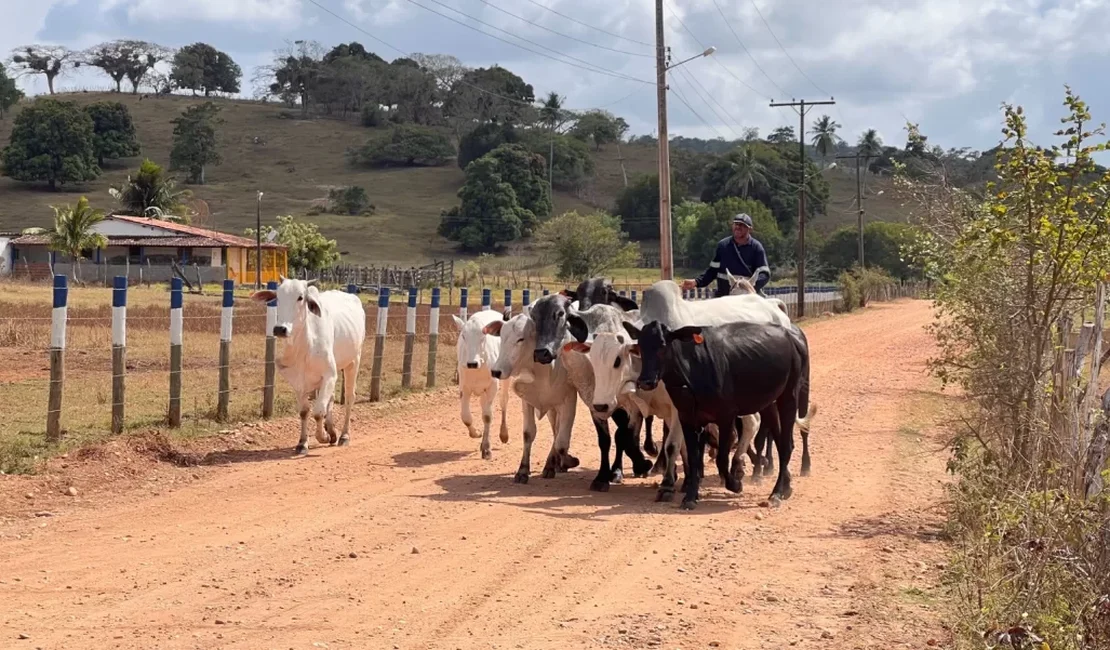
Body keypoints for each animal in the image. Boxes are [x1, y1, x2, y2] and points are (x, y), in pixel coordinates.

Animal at [249, 276, 366, 452]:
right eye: (278, 297)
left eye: (300, 297)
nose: (280, 329)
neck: (305, 345)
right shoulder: (299, 381)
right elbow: (305, 411)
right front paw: (303, 443)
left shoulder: (330, 375)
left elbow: (318, 411)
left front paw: (323, 437)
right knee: (330, 399)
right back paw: (332, 430)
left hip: (353, 361)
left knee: (349, 397)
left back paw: (344, 435)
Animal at [452, 308, 512, 454]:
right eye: (463, 336)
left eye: (483, 337)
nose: (472, 363)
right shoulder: (464, 387)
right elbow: (465, 417)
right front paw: (476, 433)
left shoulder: (492, 387)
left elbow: (487, 416)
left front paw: (486, 448)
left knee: (503, 401)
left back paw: (504, 434)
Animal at [626, 317, 816, 505]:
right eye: (640, 345)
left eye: (663, 344)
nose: (645, 381)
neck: (692, 374)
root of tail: (791, 336)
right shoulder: (687, 418)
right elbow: (694, 459)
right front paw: (690, 497)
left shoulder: (726, 417)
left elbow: (722, 459)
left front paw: (735, 484)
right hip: (768, 403)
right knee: (779, 439)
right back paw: (786, 487)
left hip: (790, 397)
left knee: (786, 444)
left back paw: (777, 492)